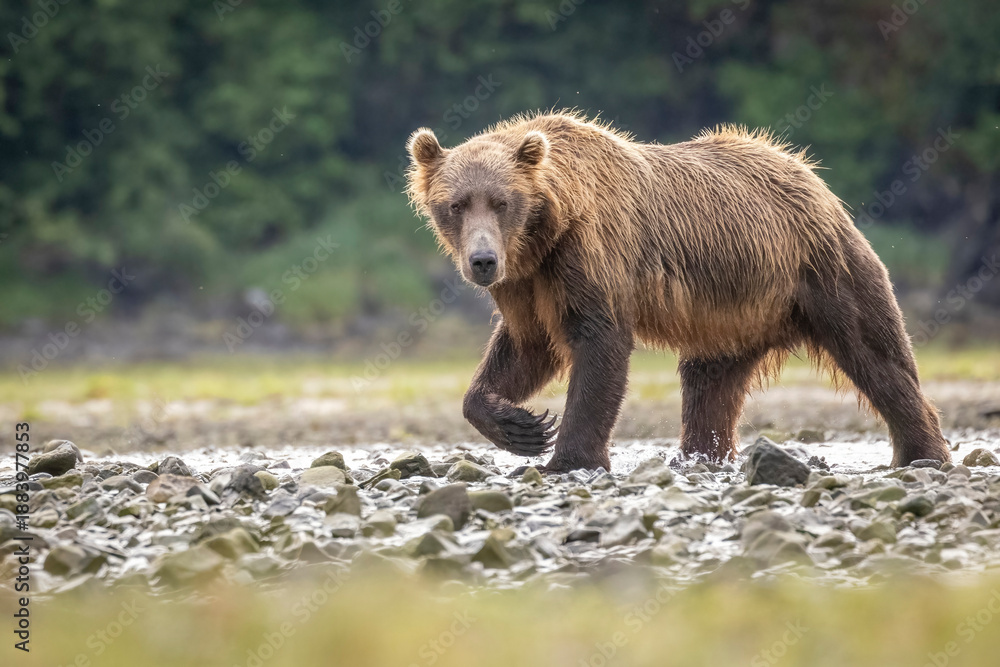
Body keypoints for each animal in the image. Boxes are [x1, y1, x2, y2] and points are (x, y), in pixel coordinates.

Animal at [405, 111, 950, 473]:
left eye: (501, 201)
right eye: (456, 204)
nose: (482, 261)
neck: (545, 231)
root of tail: (807, 171)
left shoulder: (588, 252)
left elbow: (598, 340)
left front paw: (568, 457)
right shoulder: (526, 281)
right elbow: (526, 347)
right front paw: (520, 427)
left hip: (821, 269)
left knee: (875, 355)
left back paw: (921, 450)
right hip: (731, 314)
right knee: (710, 387)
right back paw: (700, 455)